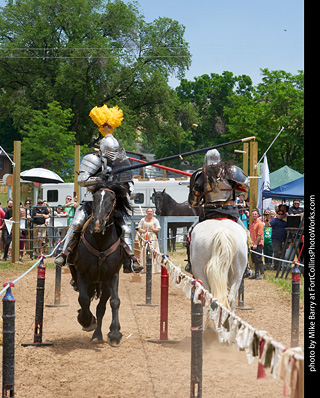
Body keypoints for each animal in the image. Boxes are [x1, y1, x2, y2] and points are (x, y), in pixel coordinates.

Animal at [71, 177, 131, 346]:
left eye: (112, 199)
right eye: (95, 198)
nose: (98, 224)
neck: (100, 242)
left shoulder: (112, 275)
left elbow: (115, 302)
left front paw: (115, 334)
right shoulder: (82, 274)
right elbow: (83, 299)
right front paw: (86, 321)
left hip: (103, 284)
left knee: (101, 307)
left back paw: (97, 335)